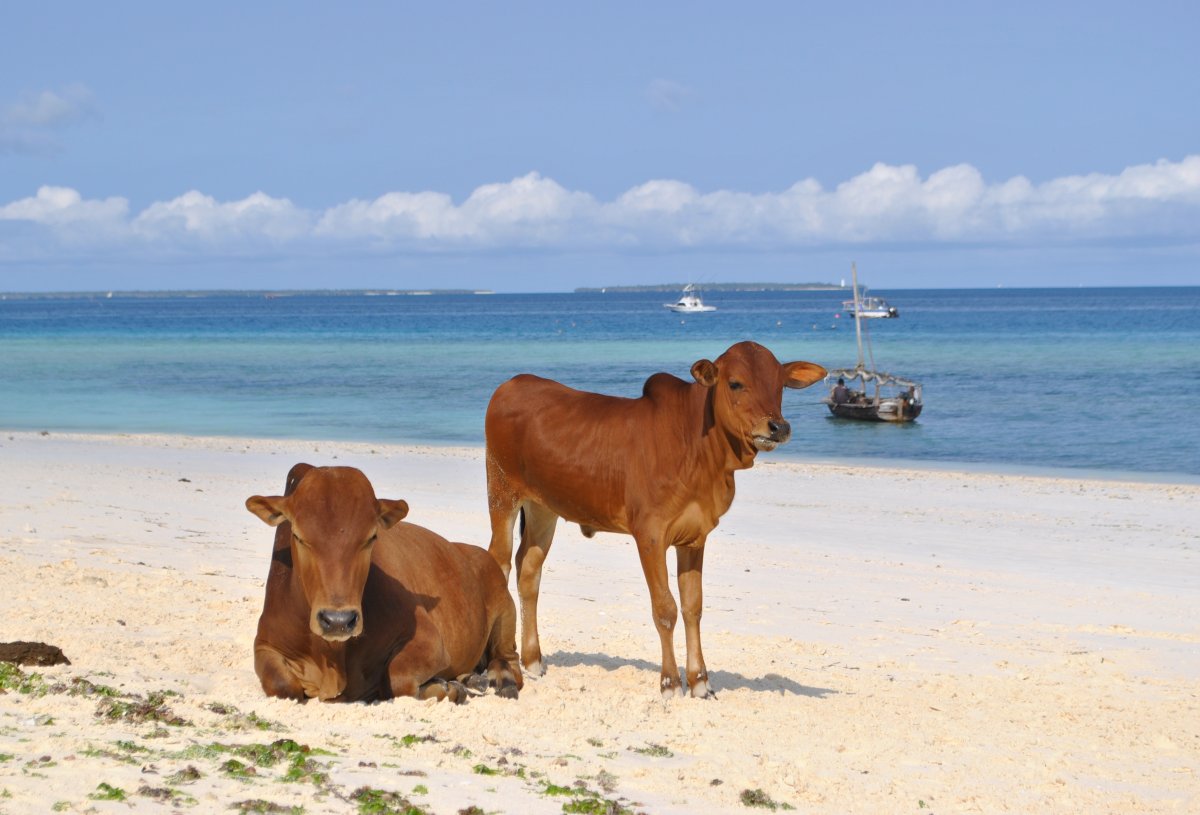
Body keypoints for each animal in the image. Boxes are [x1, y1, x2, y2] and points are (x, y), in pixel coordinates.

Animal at [246, 463, 522, 703]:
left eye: (371, 537)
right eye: (298, 536)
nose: (338, 621)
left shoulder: (429, 641)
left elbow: (397, 679)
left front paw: (446, 688)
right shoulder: (265, 645)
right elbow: (283, 686)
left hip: (506, 611)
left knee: (509, 662)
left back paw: (499, 680)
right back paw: (471, 679)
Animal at [485, 340, 826, 700]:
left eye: (780, 385)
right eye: (735, 383)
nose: (778, 427)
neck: (699, 449)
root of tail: (511, 384)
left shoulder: (694, 538)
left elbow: (693, 608)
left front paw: (700, 680)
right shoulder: (650, 536)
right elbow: (665, 609)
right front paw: (670, 682)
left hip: (543, 508)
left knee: (529, 570)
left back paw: (533, 660)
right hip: (502, 494)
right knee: (500, 560)